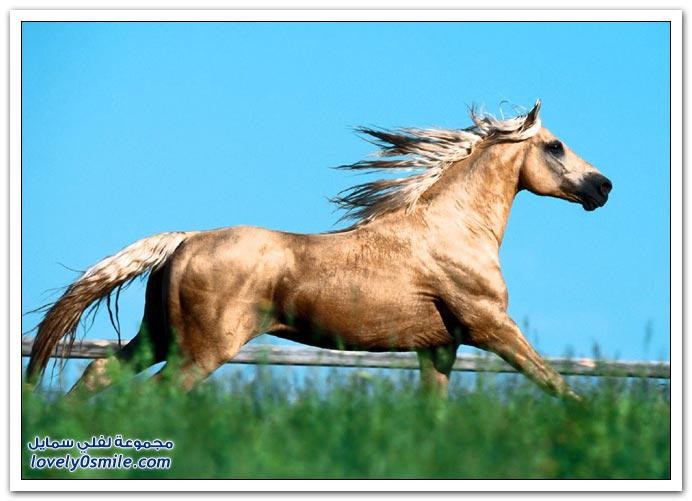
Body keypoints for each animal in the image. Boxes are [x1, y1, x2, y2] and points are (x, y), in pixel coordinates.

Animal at [25, 100, 612, 399]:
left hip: (158, 338)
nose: (603, 187)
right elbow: (559, 386)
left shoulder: (439, 349)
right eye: (555, 146)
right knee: (154, 395)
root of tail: (184, 239)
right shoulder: (492, 328)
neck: (450, 231)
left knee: (97, 374)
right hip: (202, 350)